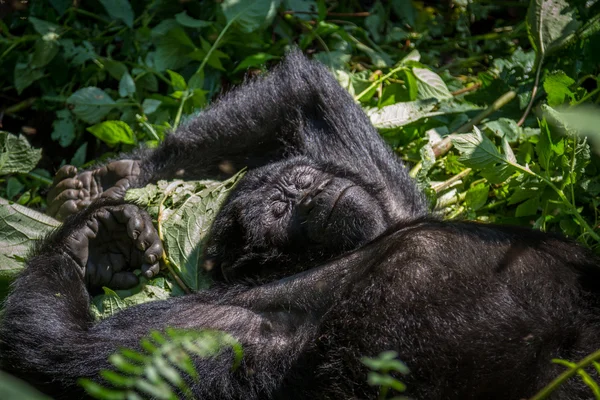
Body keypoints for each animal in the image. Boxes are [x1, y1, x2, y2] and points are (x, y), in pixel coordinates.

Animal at [1, 51, 600, 398]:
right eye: (279, 211)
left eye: (298, 179)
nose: (306, 193)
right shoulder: (246, 317)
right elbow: (73, 350)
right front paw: (89, 241)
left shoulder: (387, 197)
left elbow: (304, 93)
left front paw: (119, 181)